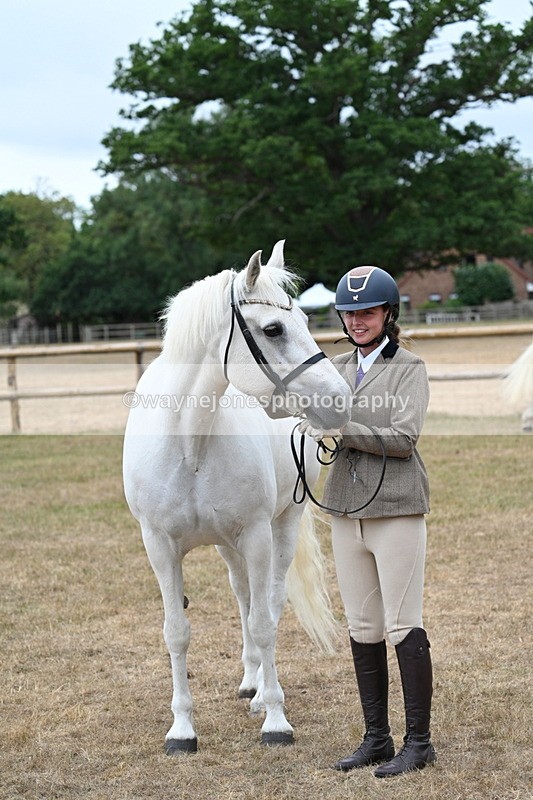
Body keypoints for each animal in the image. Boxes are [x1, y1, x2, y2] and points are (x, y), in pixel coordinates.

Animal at [122, 240, 352, 753]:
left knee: (269, 601)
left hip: (280, 528)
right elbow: (177, 632)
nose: (340, 400)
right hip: (229, 547)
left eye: (305, 319)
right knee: (244, 596)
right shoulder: (158, 546)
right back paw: (251, 683)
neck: (190, 445)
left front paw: (276, 721)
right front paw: (182, 729)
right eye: (273, 328)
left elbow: (265, 620)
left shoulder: (257, 535)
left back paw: (262, 694)